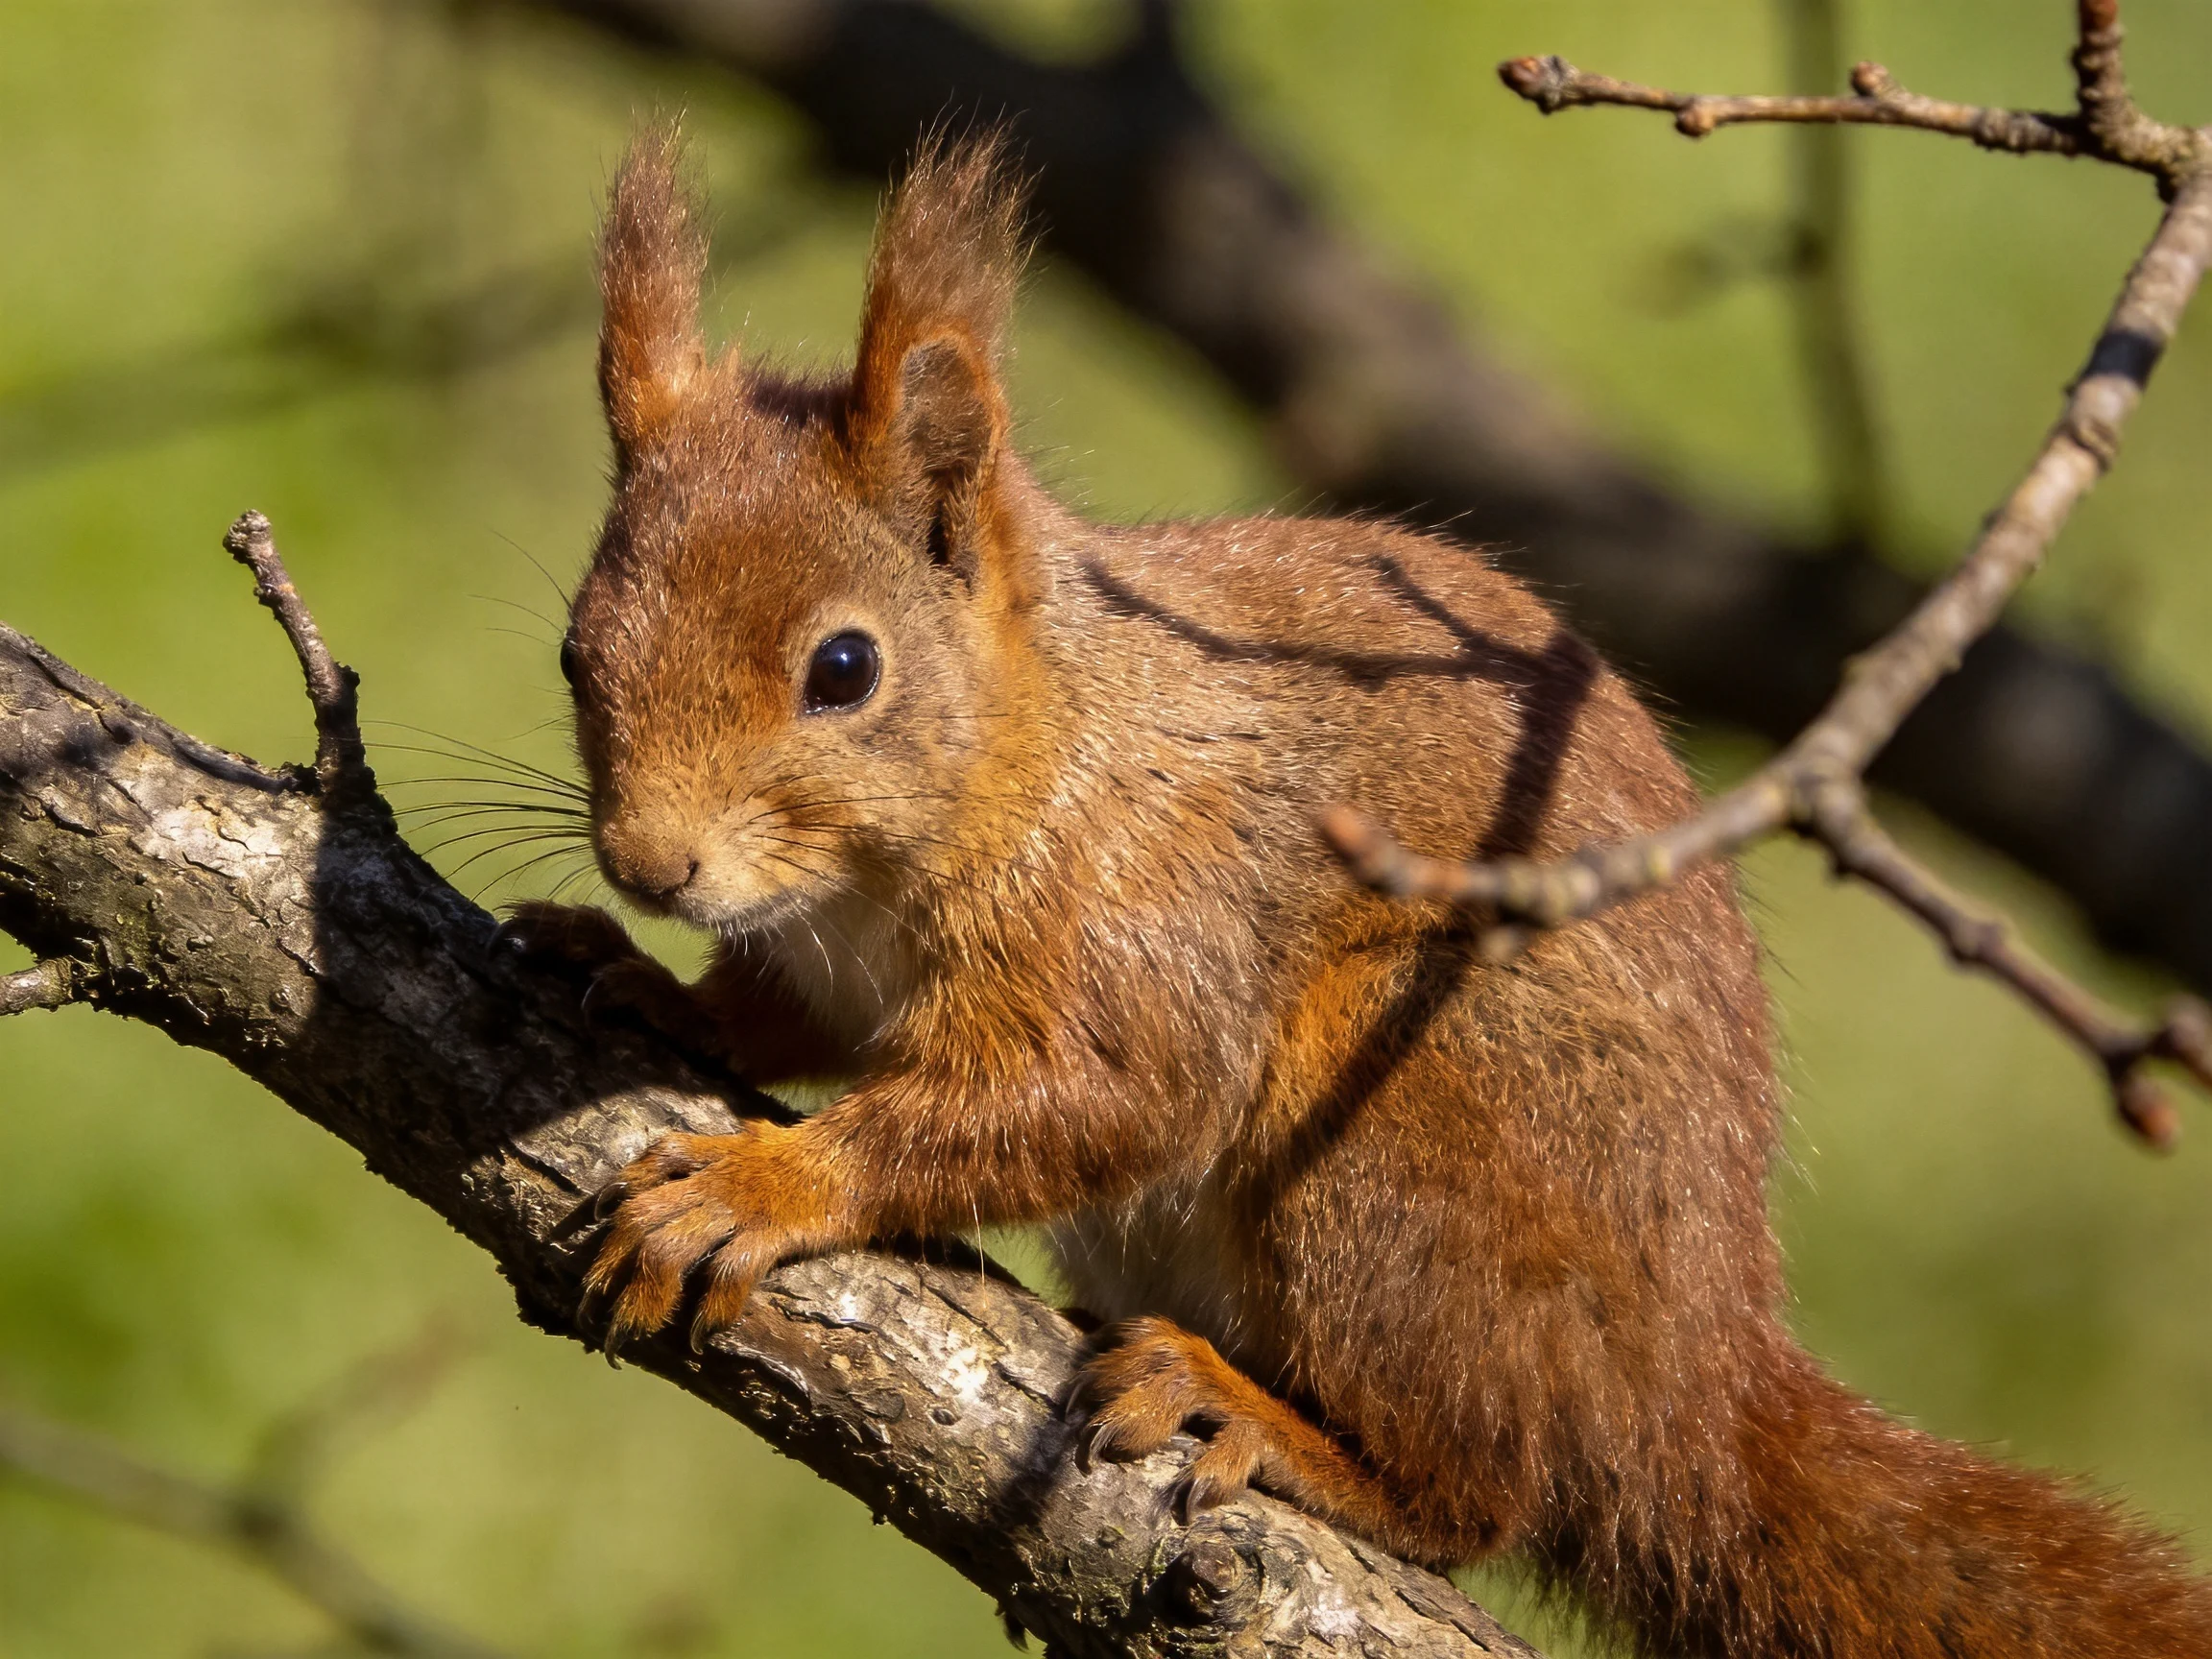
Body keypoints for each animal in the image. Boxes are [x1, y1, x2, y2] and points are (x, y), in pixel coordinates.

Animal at [511, 126, 2212, 1658]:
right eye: (576, 650)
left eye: (845, 669)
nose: (652, 866)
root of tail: (1691, 1391)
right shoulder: (822, 959)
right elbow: (779, 1017)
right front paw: (638, 976)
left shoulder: (1159, 915)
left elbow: (1091, 1100)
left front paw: (765, 1186)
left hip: (1406, 1135)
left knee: (1484, 1492)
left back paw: (1261, 1420)